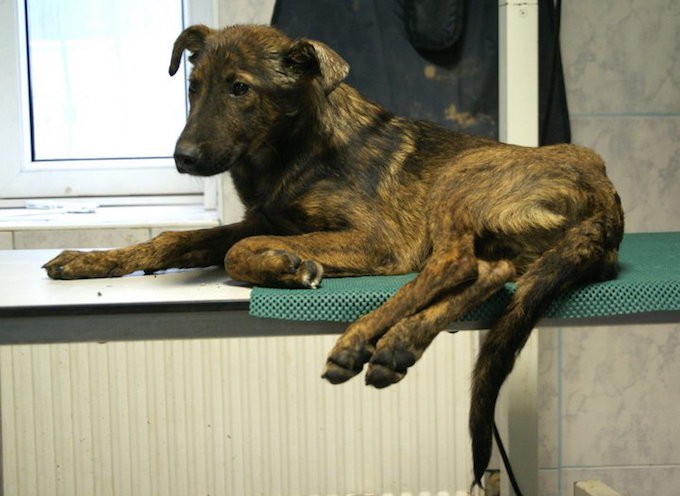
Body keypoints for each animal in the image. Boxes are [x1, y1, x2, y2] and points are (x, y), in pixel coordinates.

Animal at [43, 24, 624, 485]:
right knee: (486, 269)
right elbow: (174, 239)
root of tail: (607, 199)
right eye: (193, 87)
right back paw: (401, 345)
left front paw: (286, 265)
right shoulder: (263, 219)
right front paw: (88, 259)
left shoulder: (375, 238)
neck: (288, 150)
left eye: (240, 89)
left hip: (460, 181)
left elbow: (238, 252)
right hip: (498, 237)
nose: (182, 158)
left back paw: (362, 340)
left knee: (453, 262)